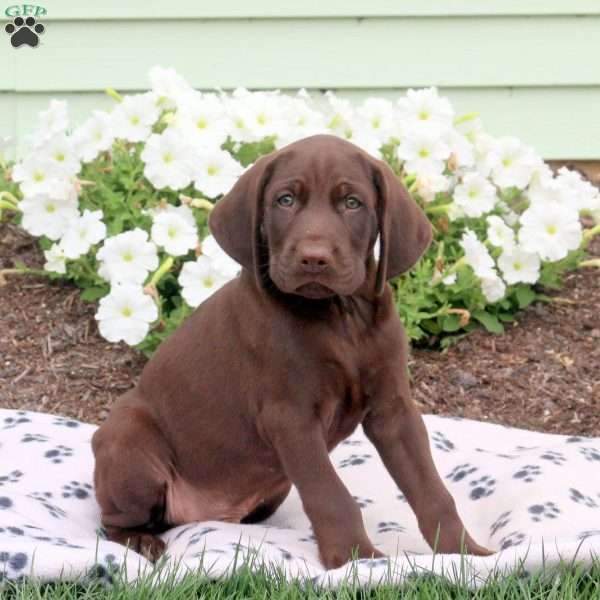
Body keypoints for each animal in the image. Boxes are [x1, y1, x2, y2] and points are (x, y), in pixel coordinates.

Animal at [91, 135, 490, 568]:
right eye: (285, 200)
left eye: (352, 203)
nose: (314, 258)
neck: (340, 317)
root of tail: (202, 517)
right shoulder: (291, 418)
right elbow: (330, 494)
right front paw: (357, 560)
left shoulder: (394, 409)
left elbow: (431, 488)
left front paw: (465, 552)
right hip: (128, 438)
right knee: (112, 520)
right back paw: (140, 541)